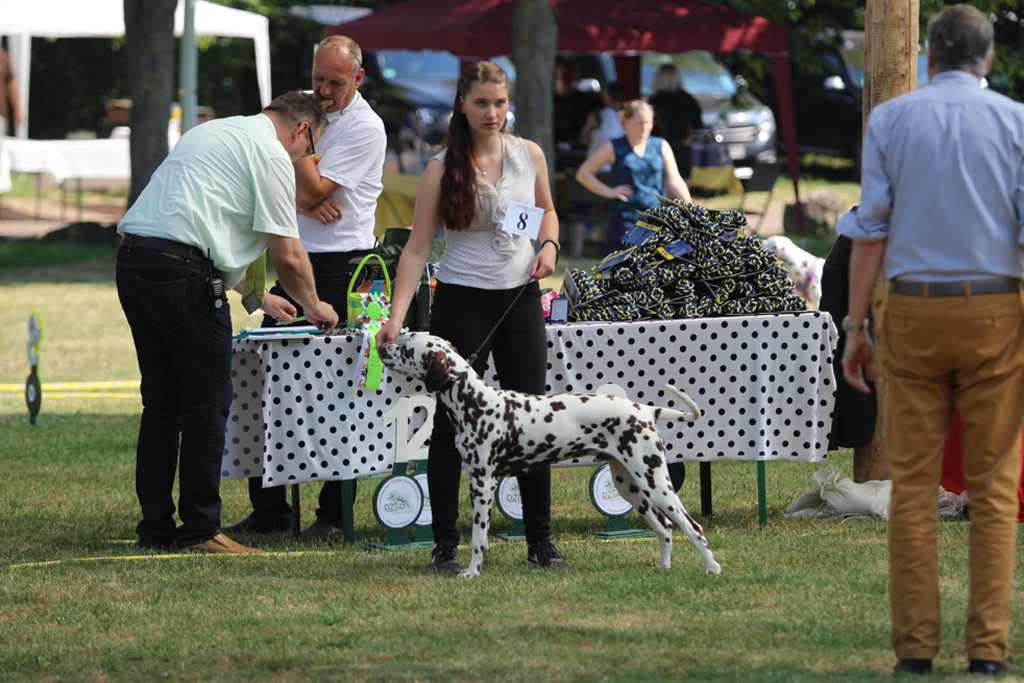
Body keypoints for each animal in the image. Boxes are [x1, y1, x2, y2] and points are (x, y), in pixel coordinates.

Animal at [380, 333, 724, 581]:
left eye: (407, 349)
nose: (382, 346)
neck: (477, 403)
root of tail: (645, 411)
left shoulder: (483, 484)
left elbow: (479, 538)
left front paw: (472, 572)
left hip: (656, 483)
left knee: (693, 527)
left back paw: (713, 568)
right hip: (630, 485)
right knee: (665, 528)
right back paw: (665, 567)